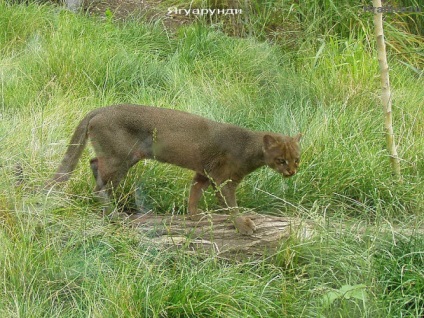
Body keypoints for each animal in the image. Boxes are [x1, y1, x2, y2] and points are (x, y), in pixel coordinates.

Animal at [50, 104, 302, 234]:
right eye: (281, 160)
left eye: (297, 159)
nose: (291, 172)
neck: (250, 147)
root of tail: (100, 109)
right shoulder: (223, 180)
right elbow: (231, 205)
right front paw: (242, 225)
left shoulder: (204, 173)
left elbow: (194, 192)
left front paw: (194, 216)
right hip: (119, 159)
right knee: (99, 186)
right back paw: (113, 213)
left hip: (125, 158)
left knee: (94, 164)